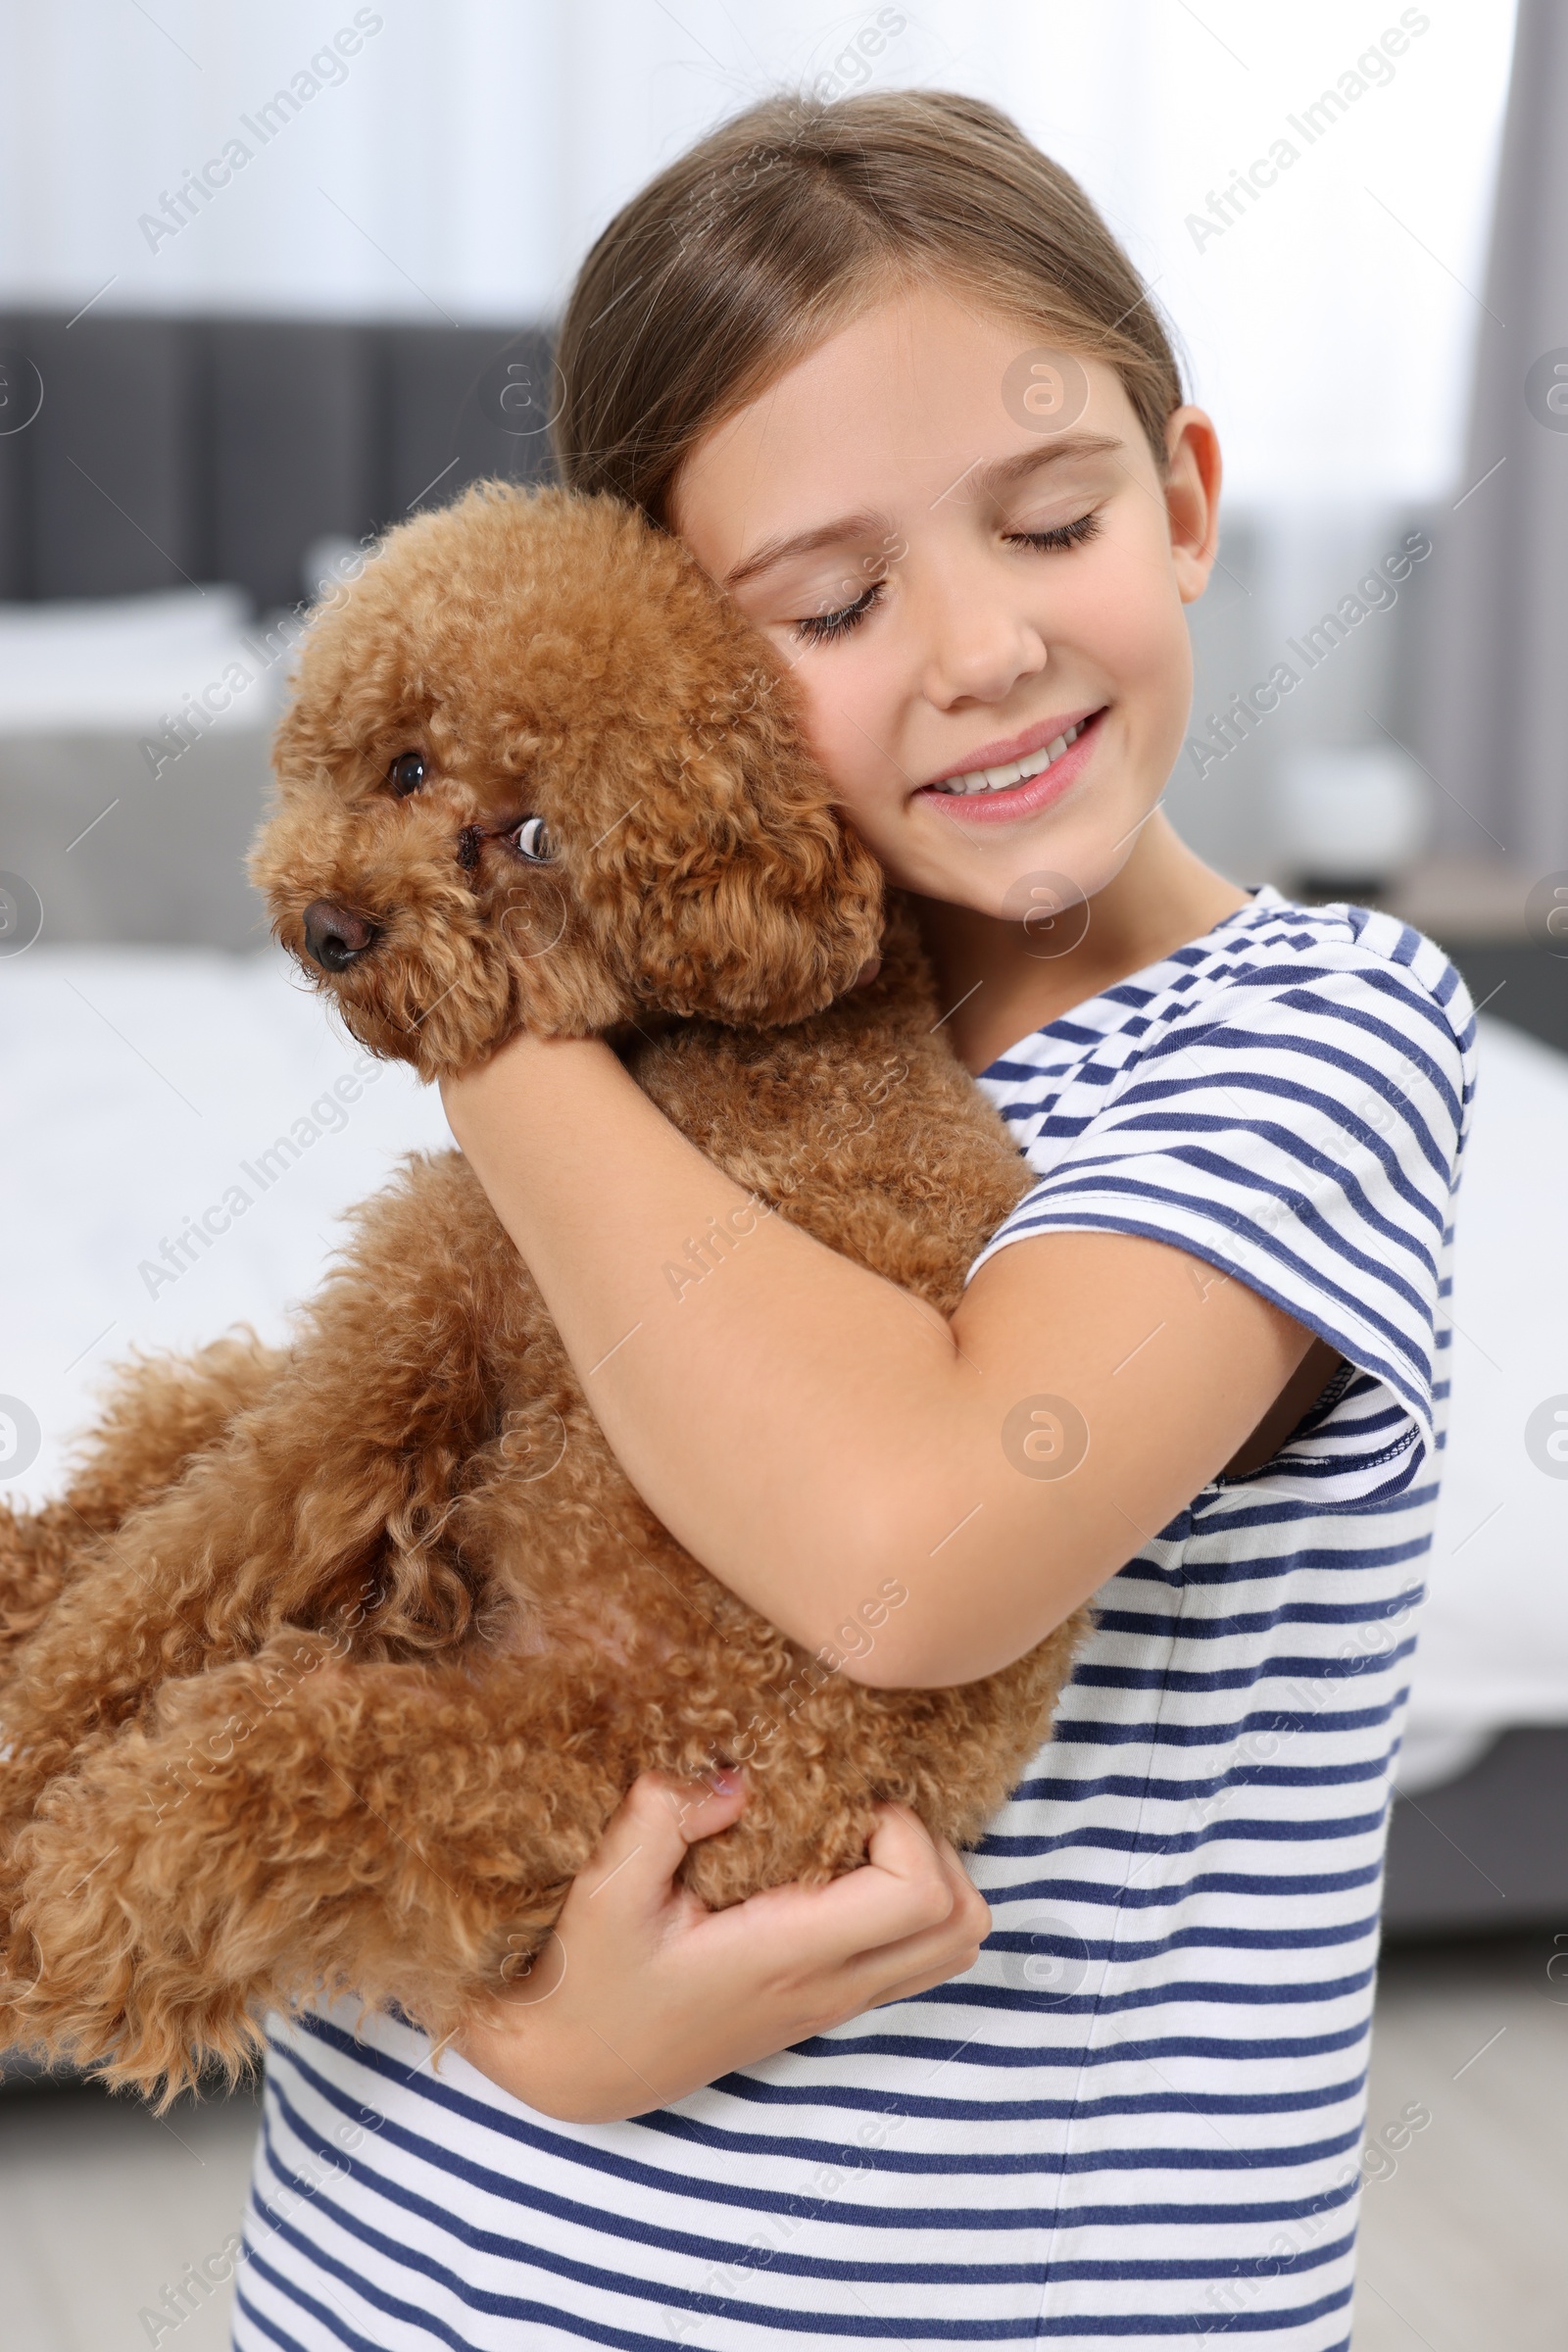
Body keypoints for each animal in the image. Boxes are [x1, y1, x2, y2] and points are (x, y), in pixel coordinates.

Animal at [0, 486, 1091, 2107]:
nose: (338, 927)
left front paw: (14, 1737)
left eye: (531, 841)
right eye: (406, 764)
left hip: (478, 1764)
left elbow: (149, 1597)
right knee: (162, 1439)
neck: (730, 1033)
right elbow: (158, 1545)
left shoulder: (396, 1356)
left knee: (163, 1833)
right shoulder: (402, 1349)